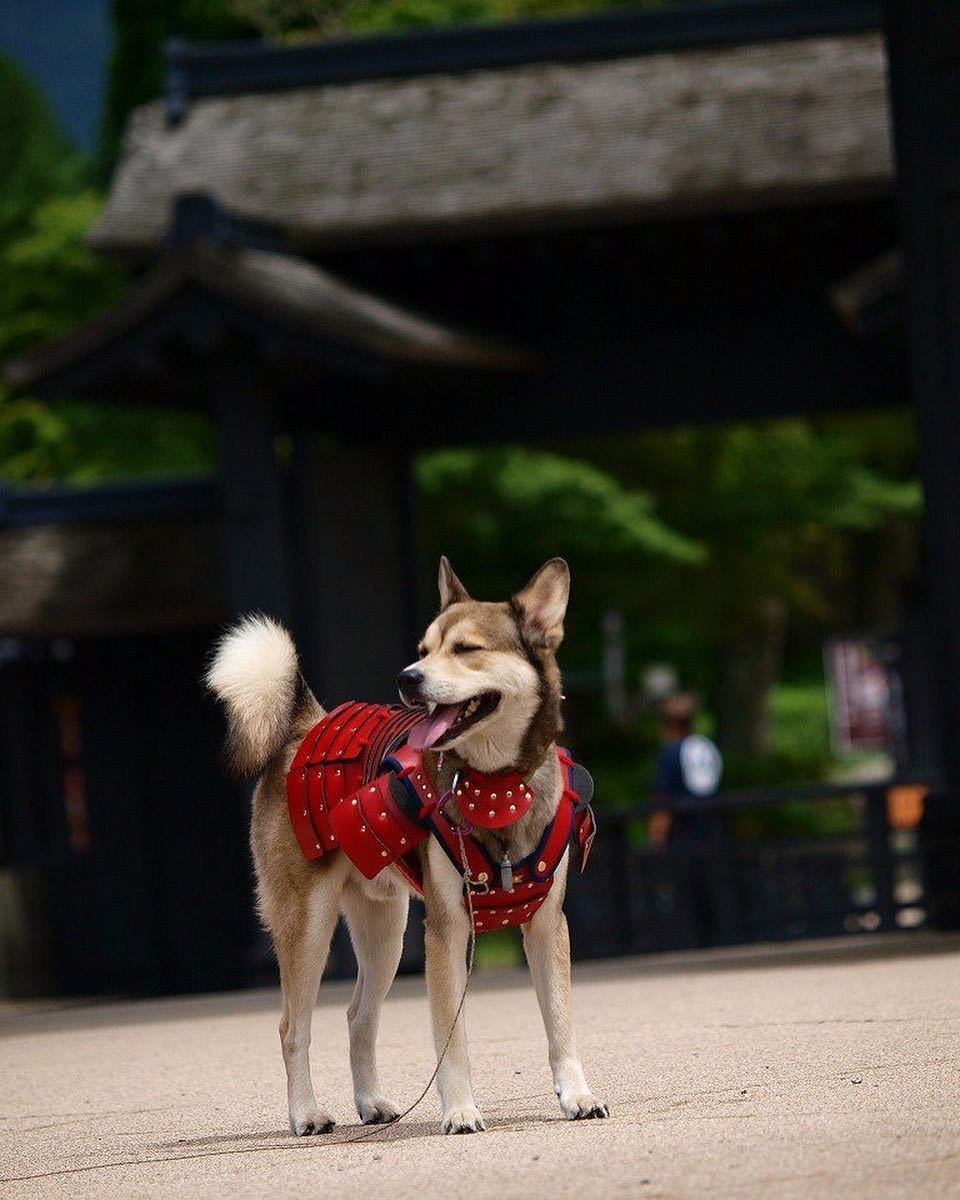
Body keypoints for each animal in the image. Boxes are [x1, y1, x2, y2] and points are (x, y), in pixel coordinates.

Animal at [207, 552, 612, 1132]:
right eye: (423, 650)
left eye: (465, 649)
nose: (407, 677)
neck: (493, 784)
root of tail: (305, 724)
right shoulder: (446, 930)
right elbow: (452, 1037)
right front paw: (461, 1109)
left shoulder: (546, 926)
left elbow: (560, 1024)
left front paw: (577, 1095)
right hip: (308, 926)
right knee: (292, 1028)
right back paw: (307, 1112)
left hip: (385, 932)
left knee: (358, 1016)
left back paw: (371, 1103)